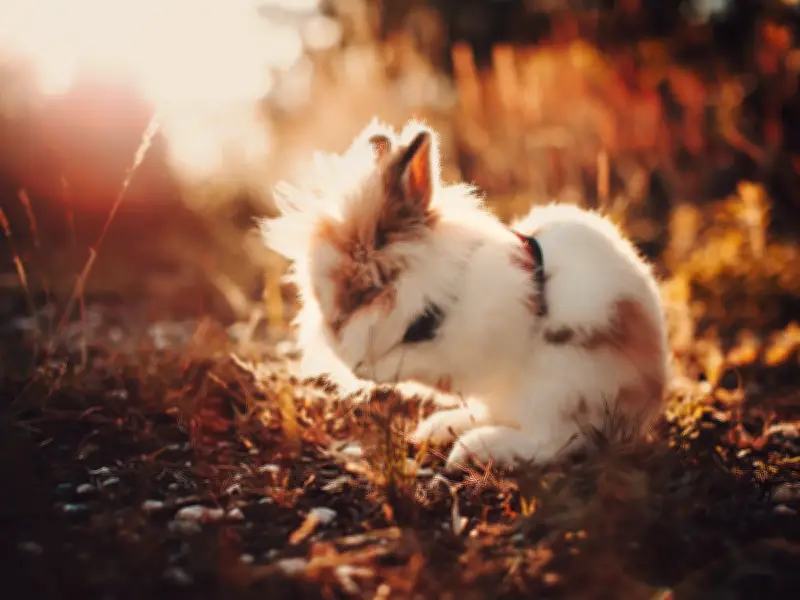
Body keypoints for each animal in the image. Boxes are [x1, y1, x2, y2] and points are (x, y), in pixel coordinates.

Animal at [260, 118, 670, 470]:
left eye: (366, 285)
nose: (355, 368)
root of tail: (645, 403)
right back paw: (440, 427)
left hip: (559, 388)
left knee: (553, 441)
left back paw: (472, 449)